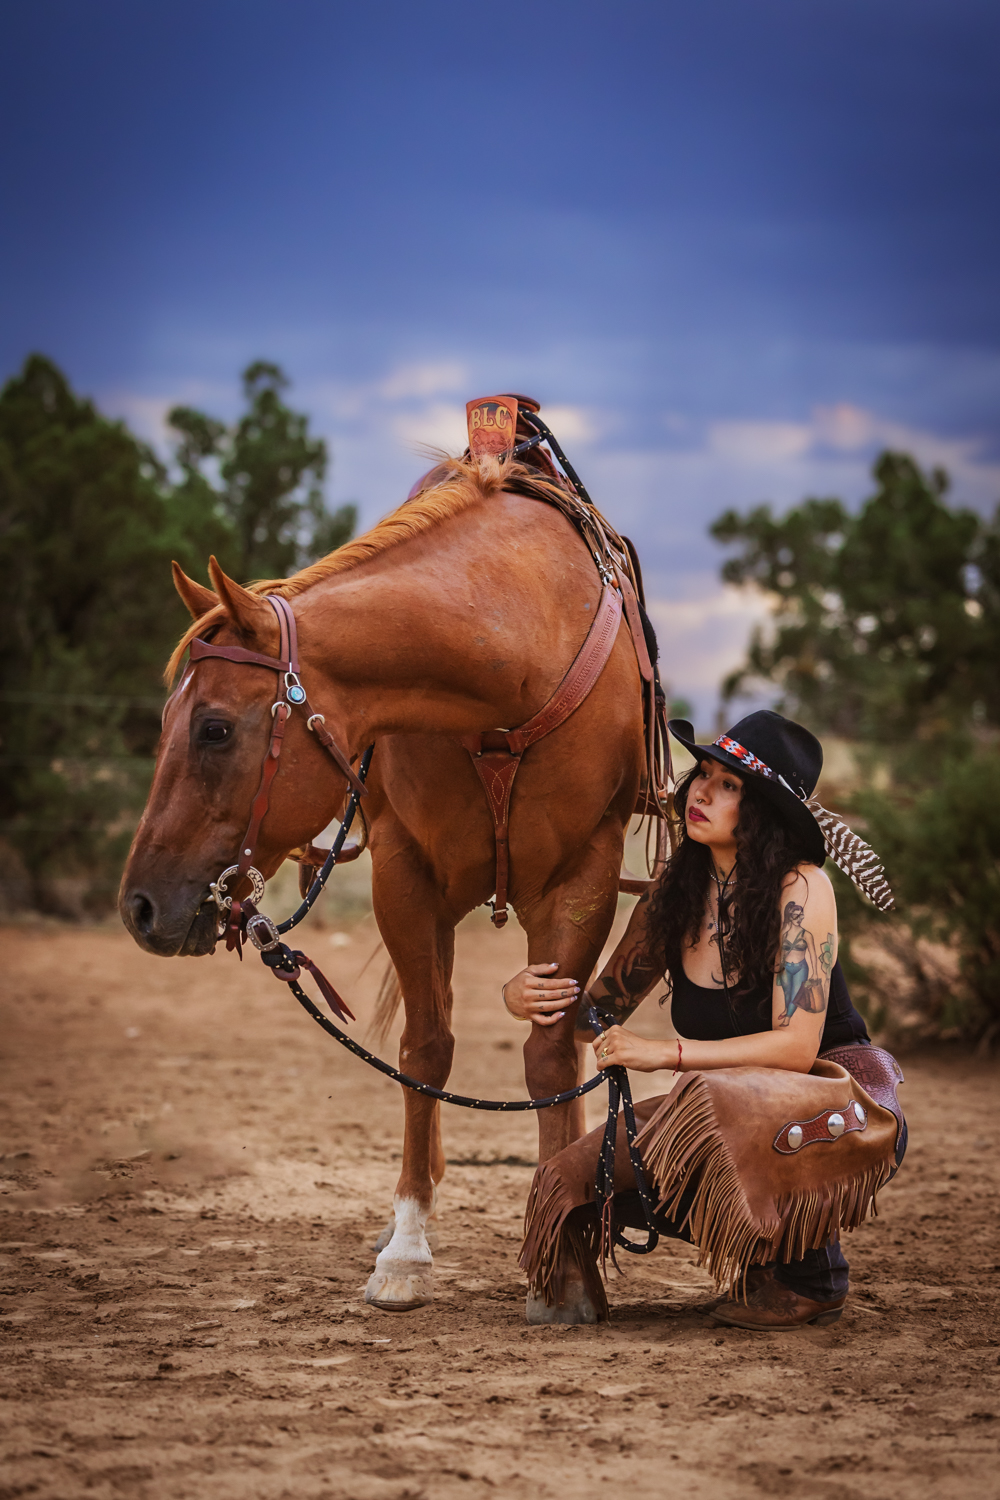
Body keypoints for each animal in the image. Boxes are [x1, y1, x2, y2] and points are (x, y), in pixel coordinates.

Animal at [119, 449, 652, 1318]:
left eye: (214, 729)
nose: (139, 905)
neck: (514, 660)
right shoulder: (408, 878)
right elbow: (425, 1049)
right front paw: (406, 1250)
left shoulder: (587, 872)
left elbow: (548, 1057)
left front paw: (568, 1259)